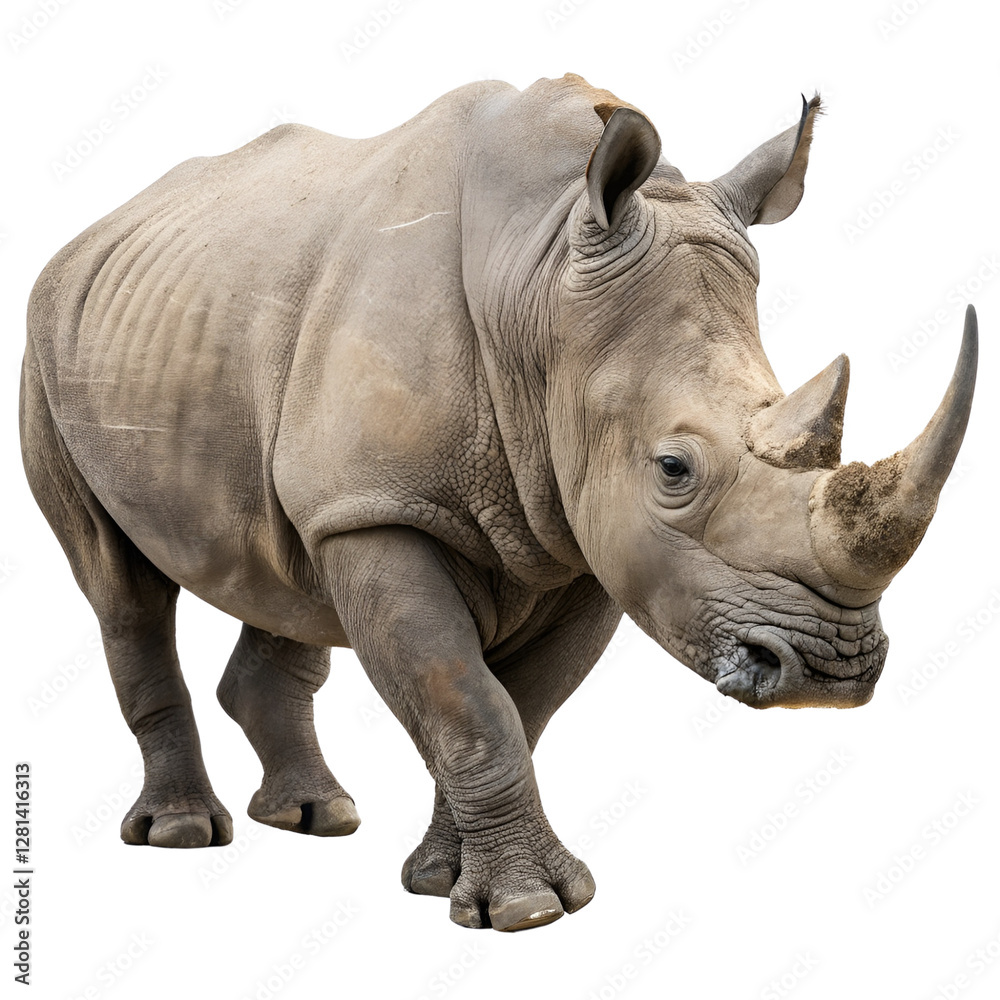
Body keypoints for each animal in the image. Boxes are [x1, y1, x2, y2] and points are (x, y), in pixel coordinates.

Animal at [20, 73, 976, 932]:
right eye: (673, 469)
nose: (829, 672)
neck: (542, 275)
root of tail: (91, 233)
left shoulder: (583, 529)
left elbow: (520, 706)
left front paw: (448, 881)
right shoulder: (387, 505)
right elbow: (468, 701)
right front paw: (525, 910)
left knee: (286, 563)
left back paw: (316, 818)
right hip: (46, 340)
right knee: (120, 587)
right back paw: (182, 832)